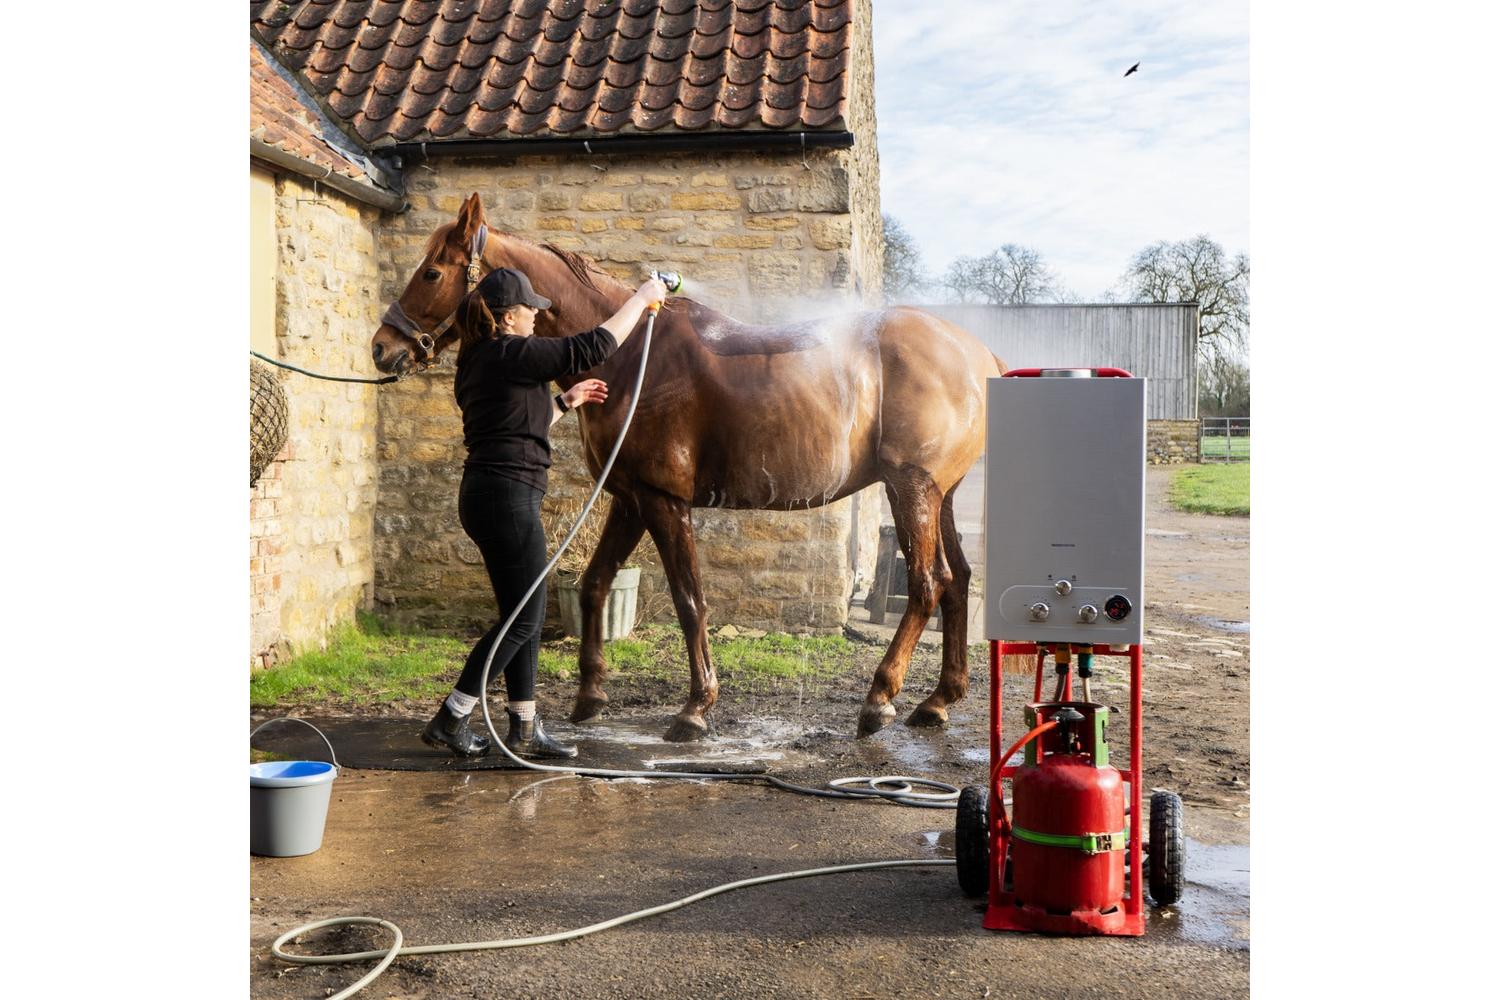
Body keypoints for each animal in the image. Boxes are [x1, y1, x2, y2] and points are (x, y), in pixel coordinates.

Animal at [372, 194, 1003, 742]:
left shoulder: (663, 501)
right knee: (958, 581)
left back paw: (879, 700)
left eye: (432, 273)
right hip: (939, 497)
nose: (382, 347)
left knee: (927, 585)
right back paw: (938, 701)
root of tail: (978, 354)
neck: (631, 355)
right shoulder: (629, 499)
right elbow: (596, 584)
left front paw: (696, 709)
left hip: (910, 489)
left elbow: (689, 599)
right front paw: (590, 696)